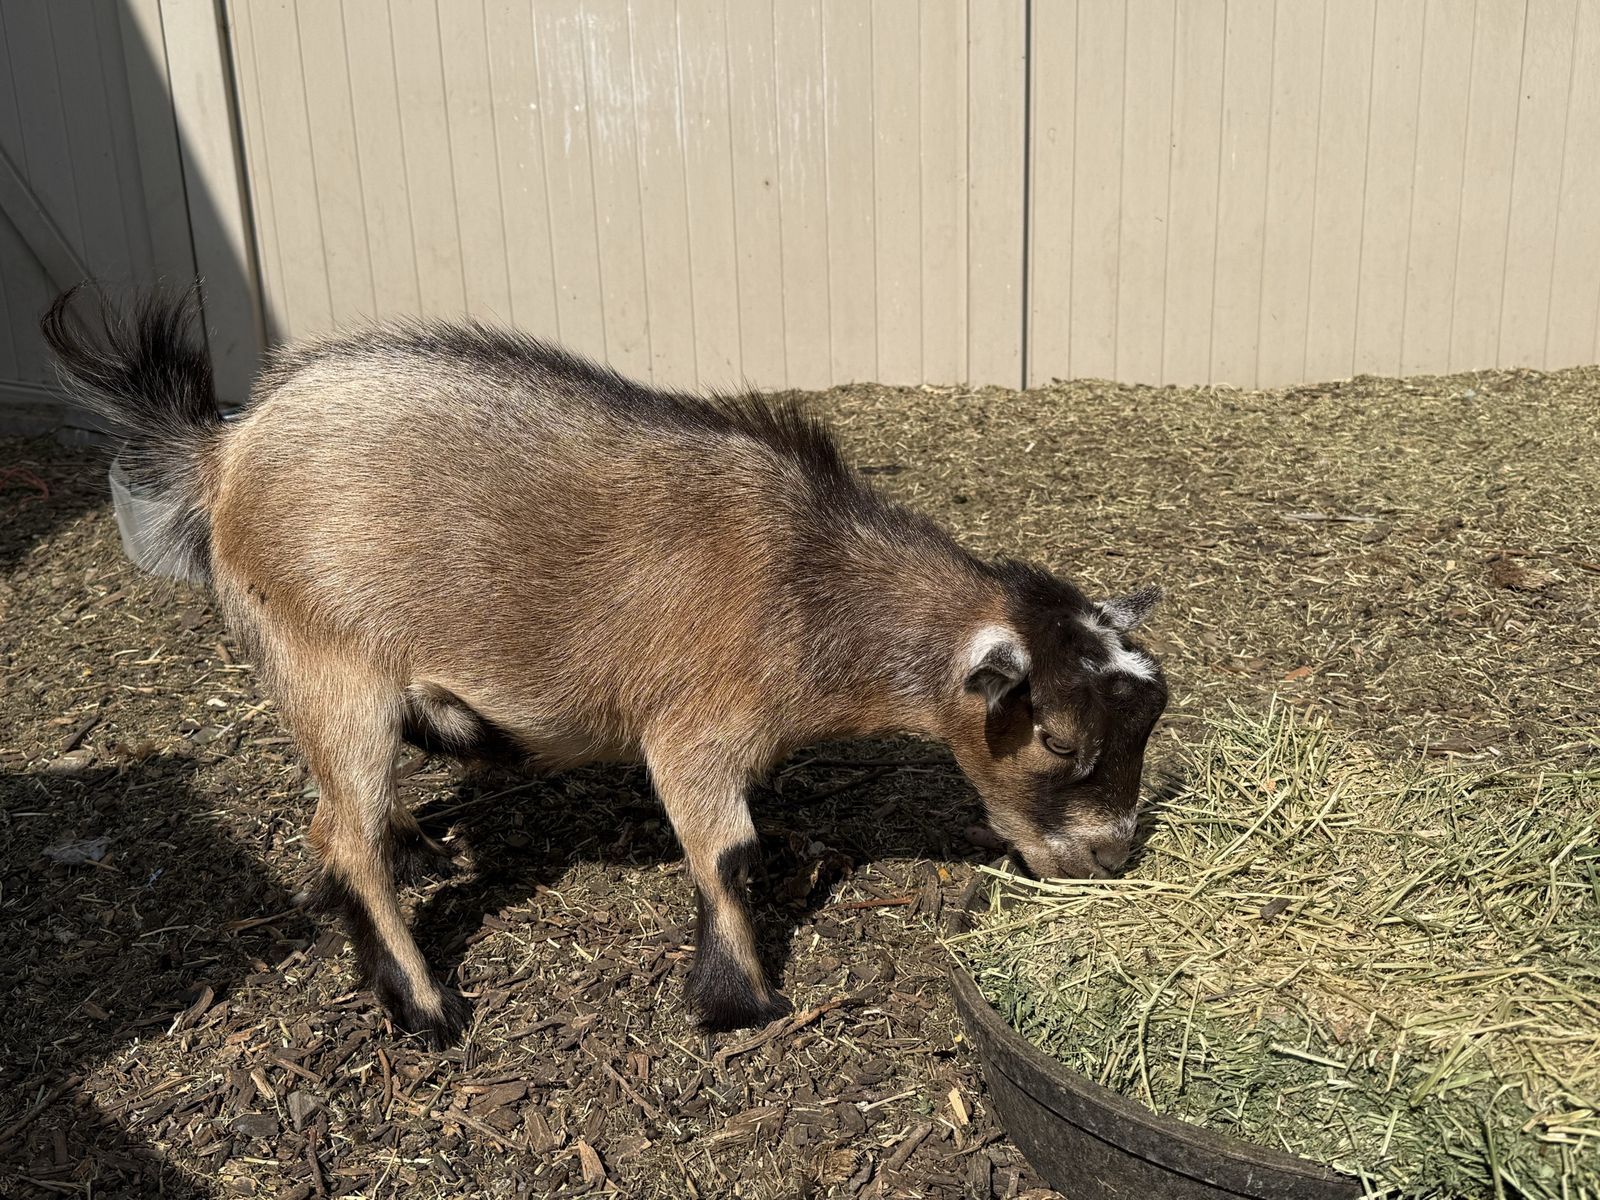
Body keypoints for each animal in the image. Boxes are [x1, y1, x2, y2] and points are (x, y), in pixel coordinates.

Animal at [42, 287, 1169, 1047]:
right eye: (1056, 738)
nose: (1111, 856)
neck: (805, 585)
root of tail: (221, 459)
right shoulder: (693, 730)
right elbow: (727, 854)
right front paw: (741, 1000)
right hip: (331, 666)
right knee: (337, 836)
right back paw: (427, 1006)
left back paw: (416, 858)